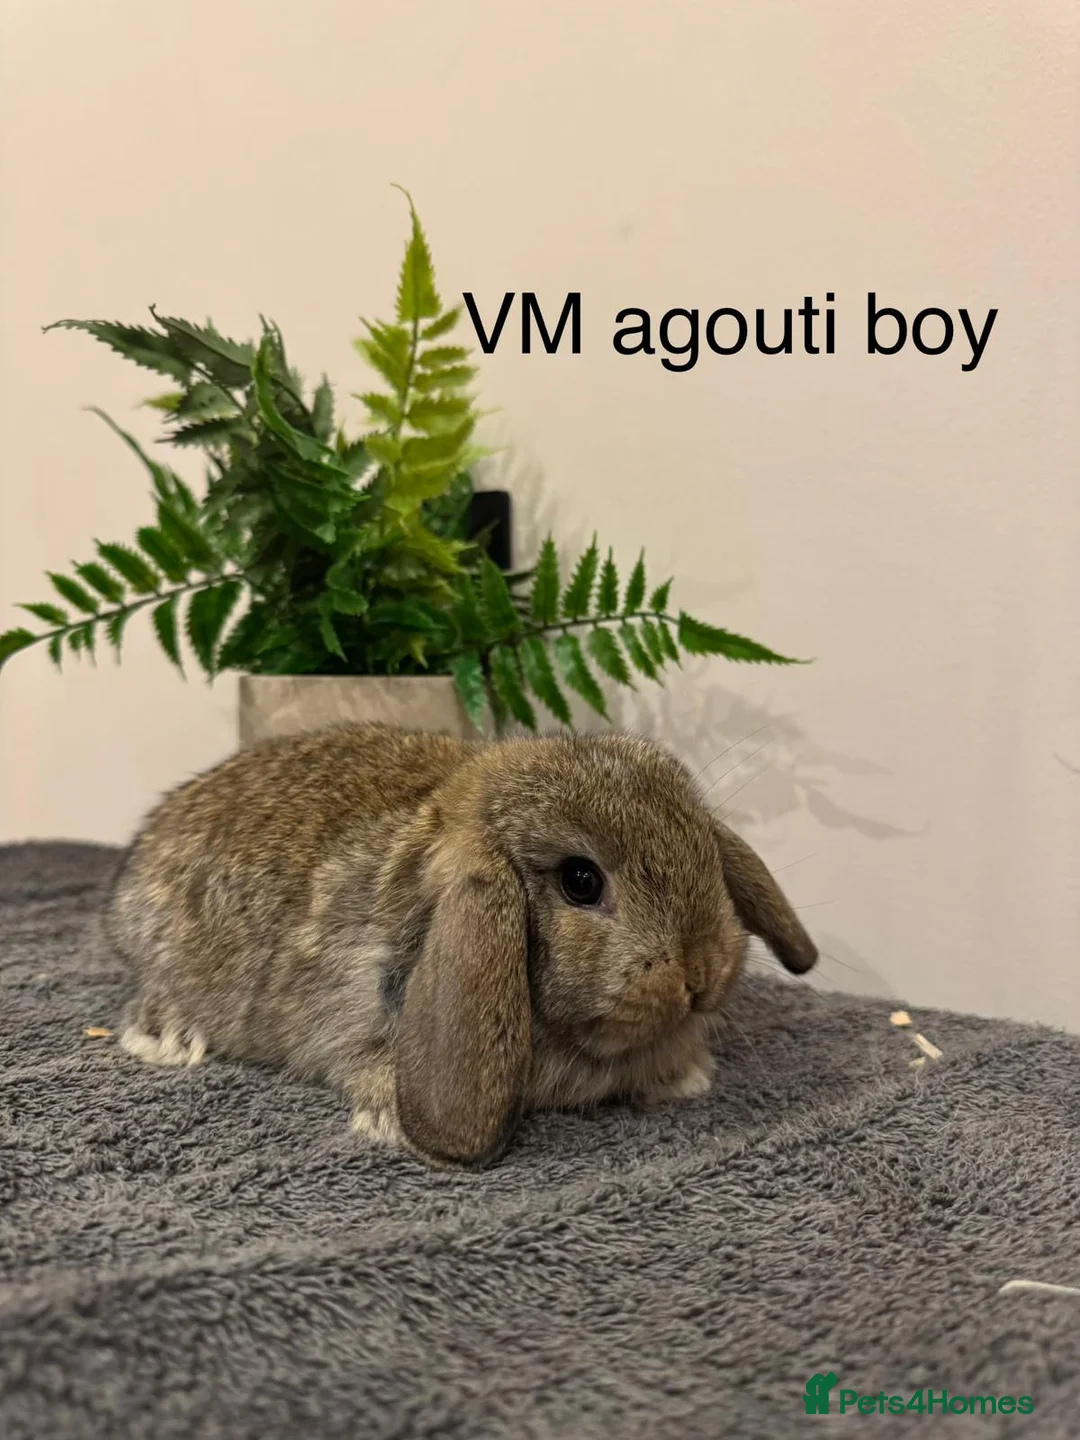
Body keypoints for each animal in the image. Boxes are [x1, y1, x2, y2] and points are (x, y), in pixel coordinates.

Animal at [106, 722, 817, 1168]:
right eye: (581, 881)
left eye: (702, 849)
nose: (702, 974)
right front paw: (391, 1121)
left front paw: (687, 1079)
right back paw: (170, 1038)